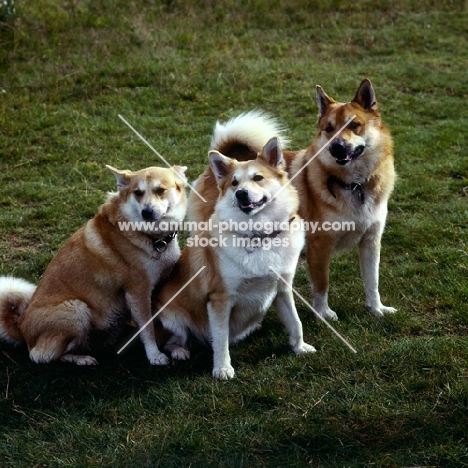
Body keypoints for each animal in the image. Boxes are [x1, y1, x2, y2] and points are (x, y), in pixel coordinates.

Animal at [0, 165, 186, 366]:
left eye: (160, 190)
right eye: (138, 193)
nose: (147, 212)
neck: (150, 237)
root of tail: (20, 325)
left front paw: (176, 346)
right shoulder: (138, 291)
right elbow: (148, 328)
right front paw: (154, 355)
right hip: (76, 310)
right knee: (43, 355)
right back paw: (81, 358)